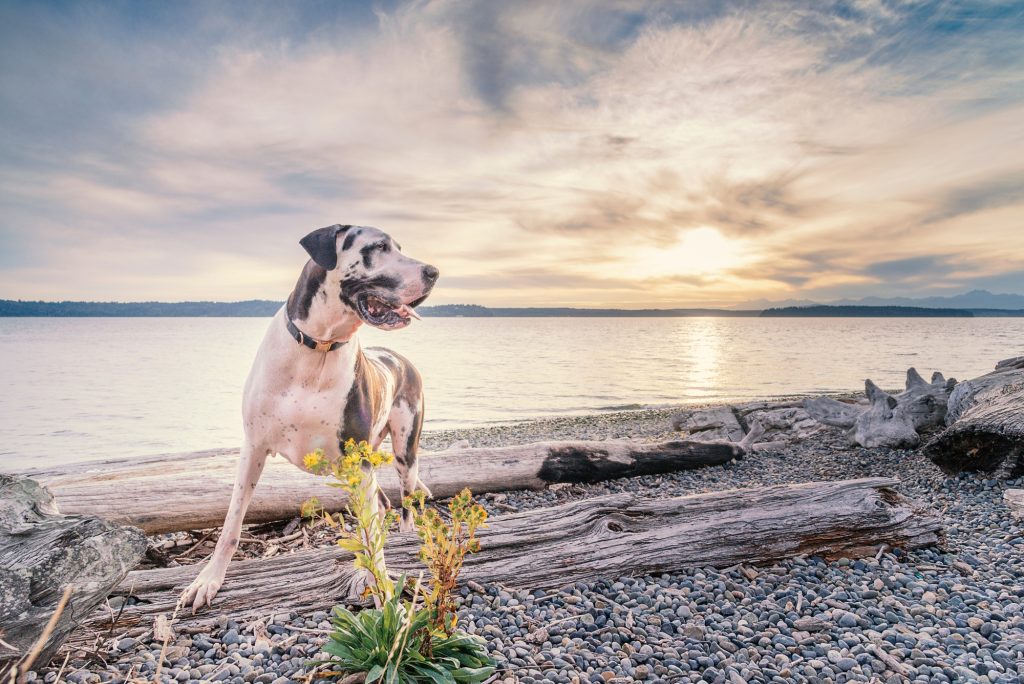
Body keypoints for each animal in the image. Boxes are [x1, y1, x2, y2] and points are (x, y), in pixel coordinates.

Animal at [180, 225, 436, 614]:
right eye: (379, 247)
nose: (434, 272)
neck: (318, 347)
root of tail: (401, 358)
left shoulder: (357, 462)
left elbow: (369, 533)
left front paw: (381, 585)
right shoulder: (253, 447)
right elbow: (231, 524)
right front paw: (208, 580)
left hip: (405, 450)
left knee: (404, 502)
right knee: (384, 502)